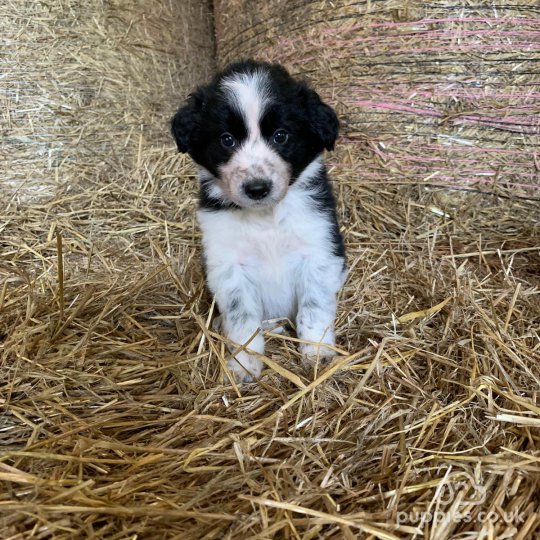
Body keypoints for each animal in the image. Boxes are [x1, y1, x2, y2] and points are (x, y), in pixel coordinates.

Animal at [171, 61, 344, 382]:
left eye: (281, 135)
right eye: (227, 139)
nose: (257, 188)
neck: (267, 217)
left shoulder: (319, 250)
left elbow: (314, 305)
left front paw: (317, 352)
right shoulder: (228, 265)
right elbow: (242, 318)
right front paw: (244, 363)